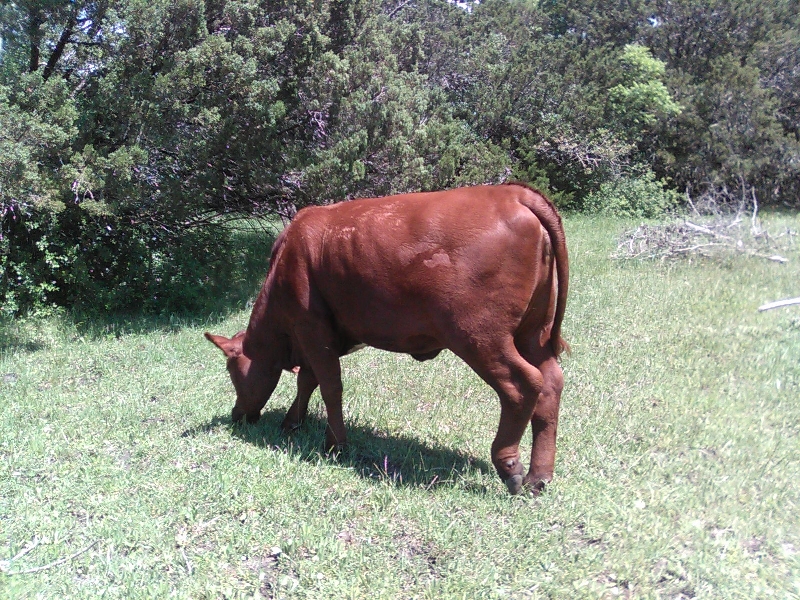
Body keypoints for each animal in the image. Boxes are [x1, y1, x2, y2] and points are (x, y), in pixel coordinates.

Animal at [206, 184, 568, 496]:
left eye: (232, 372)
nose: (237, 415)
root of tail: (514, 192)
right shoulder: (315, 337)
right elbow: (308, 380)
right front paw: (294, 422)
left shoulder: (311, 327)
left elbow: (329, 385)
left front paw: (336, 444)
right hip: (533, 333)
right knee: (551, 382)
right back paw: (539, 476)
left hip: (480, 336)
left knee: (522, 384)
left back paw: (510, 466)